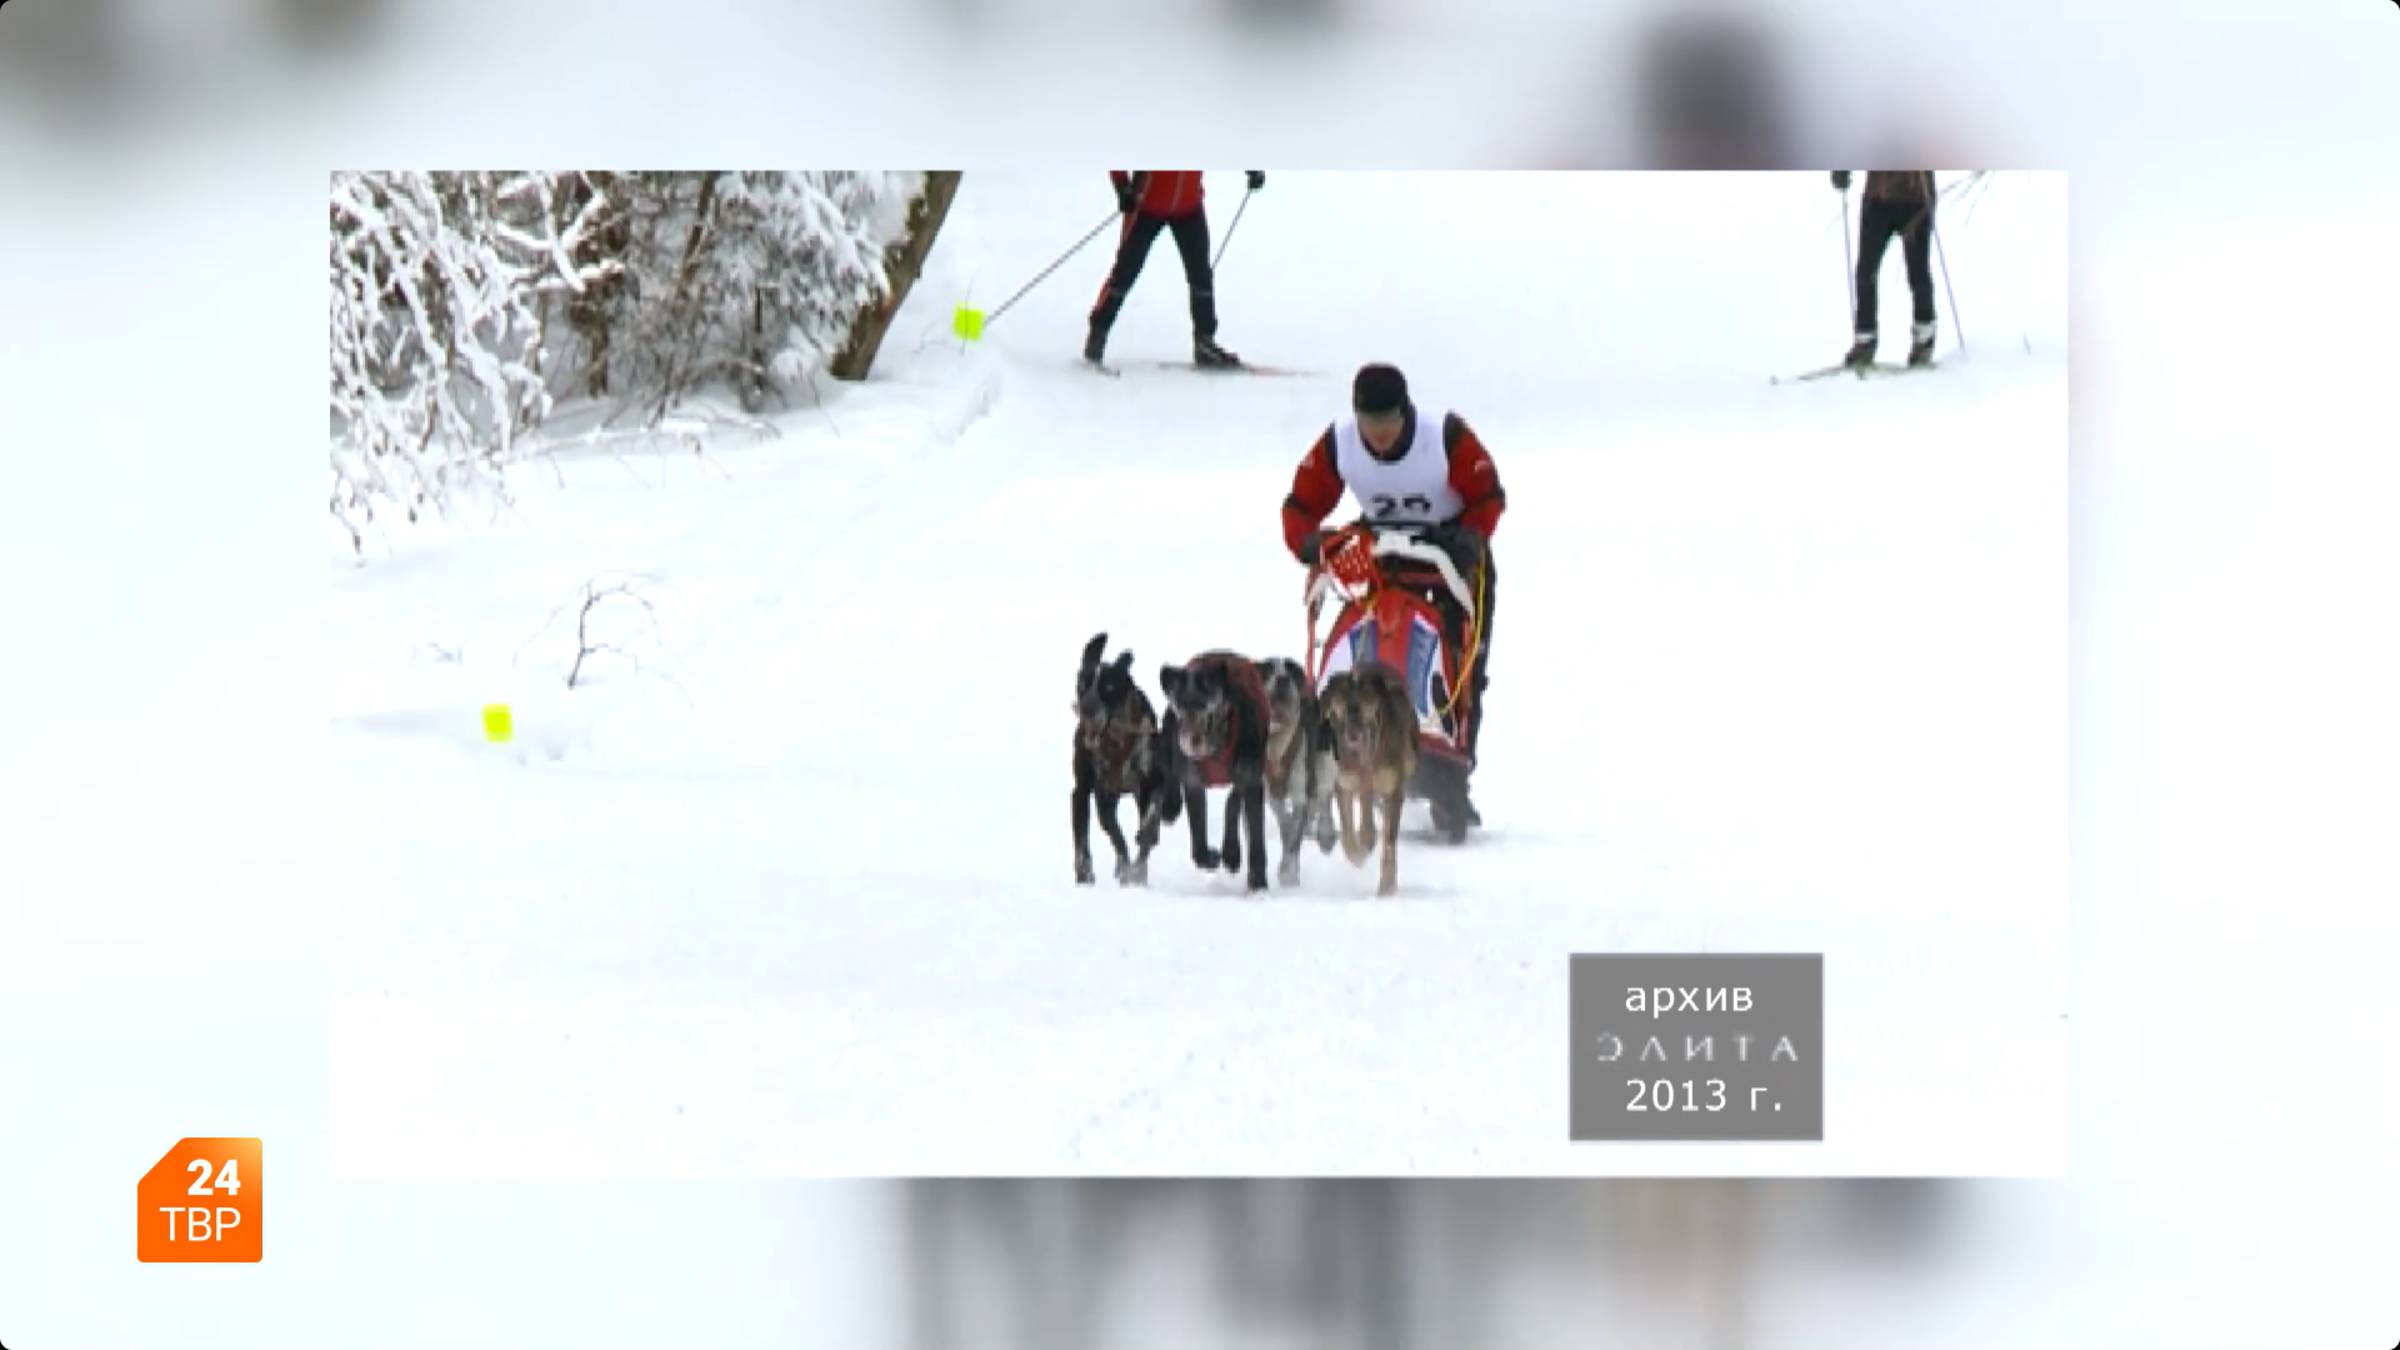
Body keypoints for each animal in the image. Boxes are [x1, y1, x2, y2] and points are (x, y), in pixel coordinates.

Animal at [1075, 629, 1176, 883]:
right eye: (1082, 684)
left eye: (1109, 687)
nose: (1086, 709)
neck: (1117, 745)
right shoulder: (1096, 793)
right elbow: (1113, 835)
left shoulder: (1153, 782)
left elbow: (1151, 819)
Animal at [1156, 648, 1276, 888]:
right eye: (1180, 705)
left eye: (1206, 703)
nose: (1191, 741)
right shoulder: (1193, 784)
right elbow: (1198, 841)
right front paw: (1211, 857)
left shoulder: (1250, 778)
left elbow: (1242, 815)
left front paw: (1255, 879)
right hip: (1168, 733)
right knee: (1169, 770)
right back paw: (1170, 805)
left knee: (1233, 802)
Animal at [1315, 658, 1420, 893]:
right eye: (1340, 699)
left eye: (1366, 699)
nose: (1354, 725)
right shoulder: (1345, 782)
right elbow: (1347, 834)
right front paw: (1359, 854)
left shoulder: (1392, 788)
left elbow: (1389, 842)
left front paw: (1387, 887)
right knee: (1365, 805)